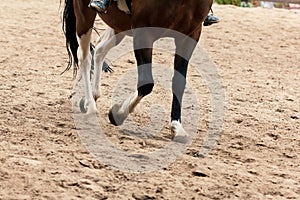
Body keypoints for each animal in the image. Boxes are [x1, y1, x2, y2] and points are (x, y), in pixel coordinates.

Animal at [63, 0, 212, 143]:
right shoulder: (143, 32)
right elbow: (146, 83)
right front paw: (119, 113)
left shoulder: (190, 35)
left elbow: (179, 82)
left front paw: (177, 126)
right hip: (85, 14)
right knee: (85, 57)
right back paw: (90, 105)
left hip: (119, 25)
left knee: (100, 49)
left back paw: (93, 95)